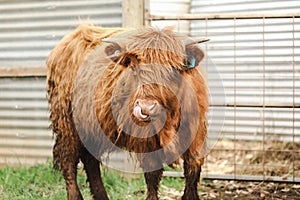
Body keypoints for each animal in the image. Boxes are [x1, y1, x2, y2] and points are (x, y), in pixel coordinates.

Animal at [47, 24, 210, 200]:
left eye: (173, 70)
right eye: (133, 68)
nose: (146, 107)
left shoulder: (196, 135)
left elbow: (193, 170)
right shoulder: (147, 141)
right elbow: (152, 175)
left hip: (91, 128)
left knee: (90, 159)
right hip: (66, 123)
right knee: (68, 159)